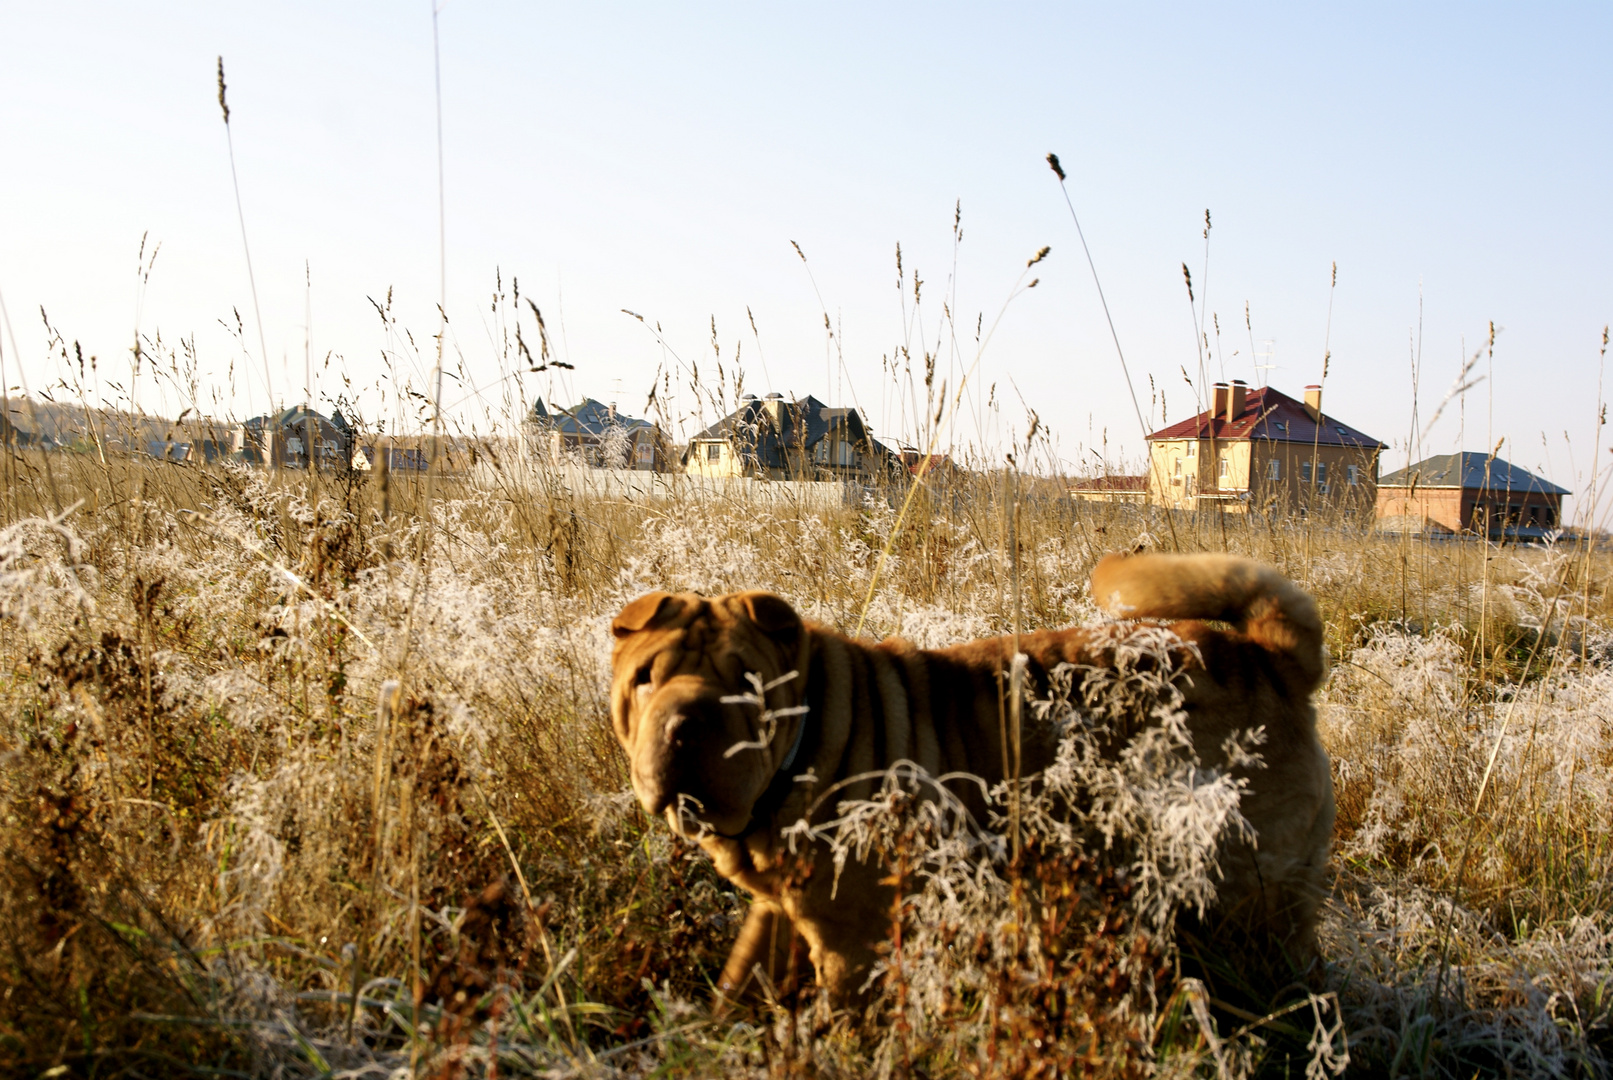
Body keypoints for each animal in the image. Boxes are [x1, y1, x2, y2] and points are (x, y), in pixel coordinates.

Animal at [606, 554, 1335, 1012]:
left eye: (748, 684)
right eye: (646, 678)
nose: (687, 722)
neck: (810, 734)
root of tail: (1272, 656)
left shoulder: (854, 939)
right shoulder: (781, 910)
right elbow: (741, 977)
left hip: (1244, 898)